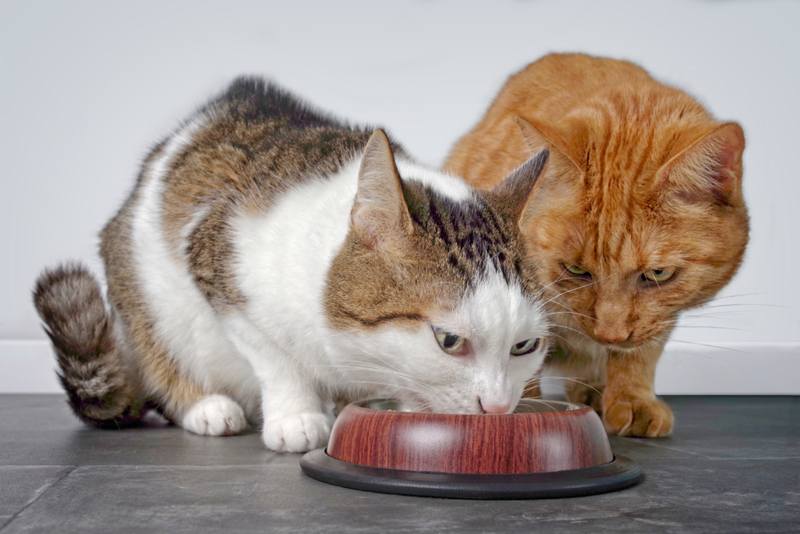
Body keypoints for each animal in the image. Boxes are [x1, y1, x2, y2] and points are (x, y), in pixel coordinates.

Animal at [34, 78, 552, 452]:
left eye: (524, 345)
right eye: (449, 341)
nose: (499, 408)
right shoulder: (217, 264)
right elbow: (275, 355)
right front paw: (296, 415)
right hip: (144, 294)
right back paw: (206, 406)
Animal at [444, 53, 752, 440]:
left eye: (658, 274)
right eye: (575, 269)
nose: (610, 334)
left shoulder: (660, 319)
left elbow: (640, 352)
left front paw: (632, 398)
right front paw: (523, 409)